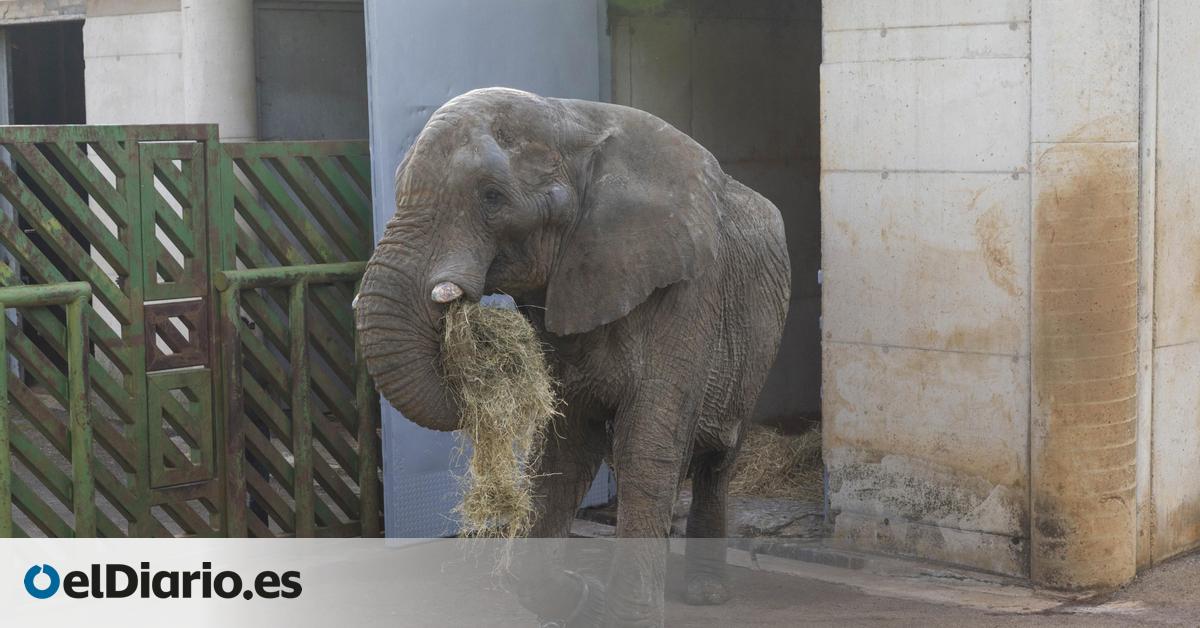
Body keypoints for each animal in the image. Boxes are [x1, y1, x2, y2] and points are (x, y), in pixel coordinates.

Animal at [355, 87, 791, 627]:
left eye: (492, 197)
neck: (572, 122)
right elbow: (565, 444)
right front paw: (591, 598)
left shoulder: (690, 292)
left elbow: (646, 445)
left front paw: (625, 616)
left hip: (757, 348)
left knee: (716, 459)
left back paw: (705, 593)